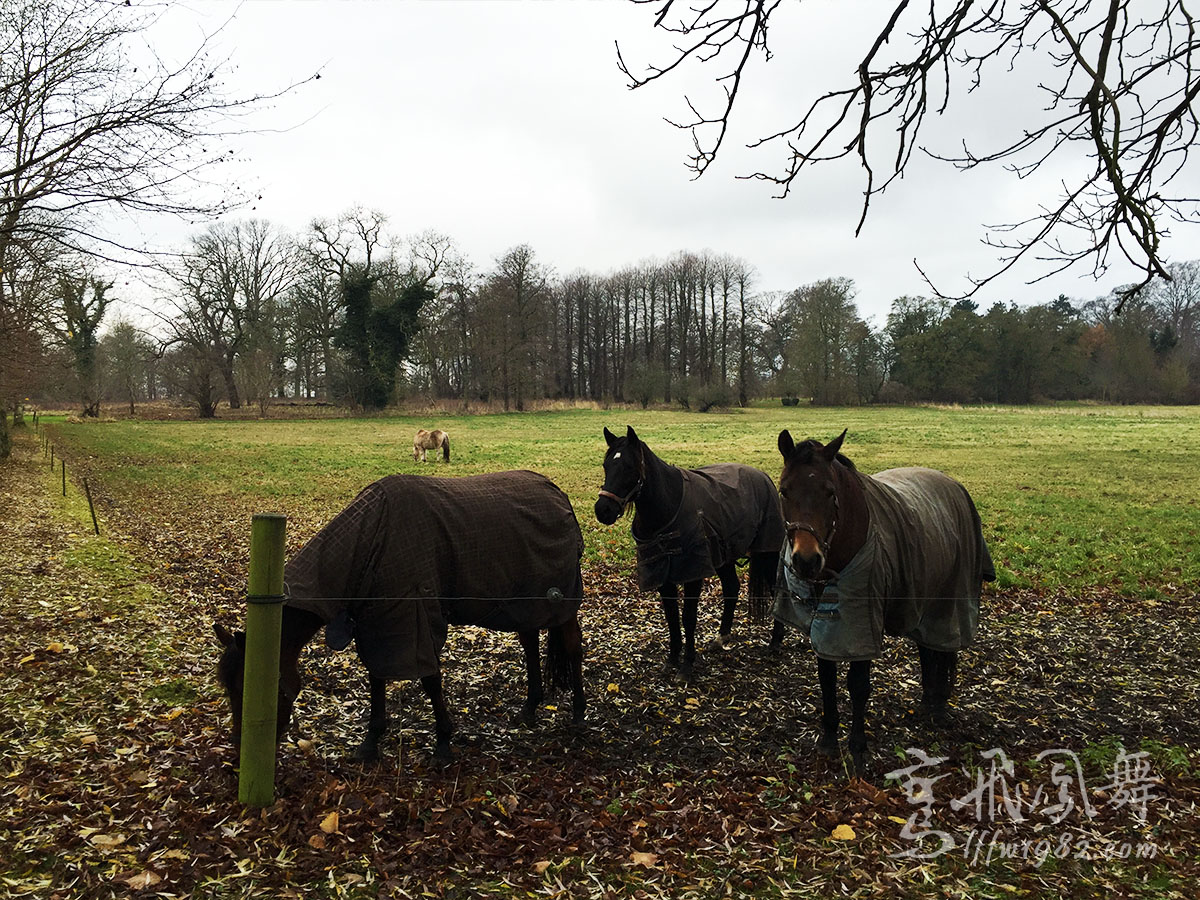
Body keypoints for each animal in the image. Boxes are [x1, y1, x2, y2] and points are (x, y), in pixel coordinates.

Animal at [219, 472, 590, 763]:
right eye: (229, 688)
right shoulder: (377, 622)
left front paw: (443, 743)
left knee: (573, 648)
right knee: (530, 644)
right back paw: (530, 708)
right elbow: (377, 677)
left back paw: (579, 714)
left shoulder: (415, 616)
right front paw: (371, 742)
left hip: (559, 601)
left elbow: (429, 679)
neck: (372, 537)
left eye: (256, 688)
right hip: (523, 604)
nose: (239, 747)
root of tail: (558, 495)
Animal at [592, 427, 787, 681]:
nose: (603, 510)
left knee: (776, 590)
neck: (668, 507)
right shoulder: (663, 575)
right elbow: (672, 617)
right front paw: (672, 659)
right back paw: (722, 637)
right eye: (606, 465)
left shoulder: (693, 572)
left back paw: (775, 642)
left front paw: (686, 666)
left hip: (767, 553)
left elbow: (688, 617)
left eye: (629, 467)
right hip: (724, 557)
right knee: (732, 588)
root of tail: (763, 476)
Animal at [772, 434, 998, 772]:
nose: (807, 560)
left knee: (944, 646)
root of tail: (952, 484)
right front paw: (828, 738)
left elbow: (858, 685)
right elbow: (826, 678)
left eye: (829, 492)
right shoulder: (825, 623)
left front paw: (857, 746)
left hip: (949, 596)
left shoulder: (862, 624)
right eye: (784, 490)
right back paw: (928, 701)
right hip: (922, 597)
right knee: (927, 648)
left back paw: (939, 707)